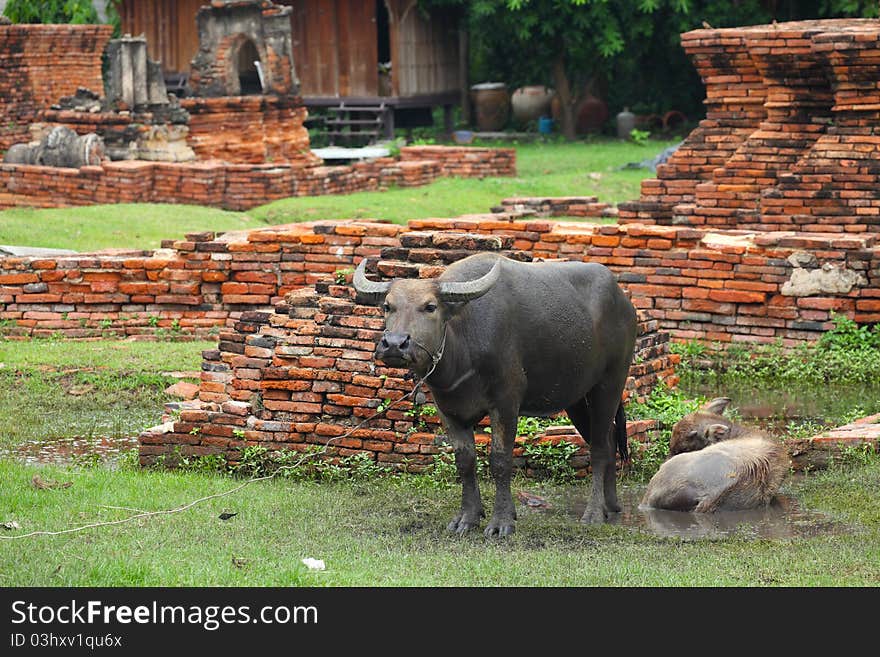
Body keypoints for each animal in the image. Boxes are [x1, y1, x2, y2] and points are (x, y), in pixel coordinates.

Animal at [354, 250, 636, 532]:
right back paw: (612, 506)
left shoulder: (506, 402)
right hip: (576, 397)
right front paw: (467, 518)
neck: (463, 348)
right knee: (609, 440)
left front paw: (501, 522)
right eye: (387, 306)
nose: (394, 344)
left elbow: (500, 459)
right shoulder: (448, 409)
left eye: (430, 306)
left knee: (600, 447)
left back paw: (594, 513)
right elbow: (465, 462)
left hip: (610, 383)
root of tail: (625, 303)